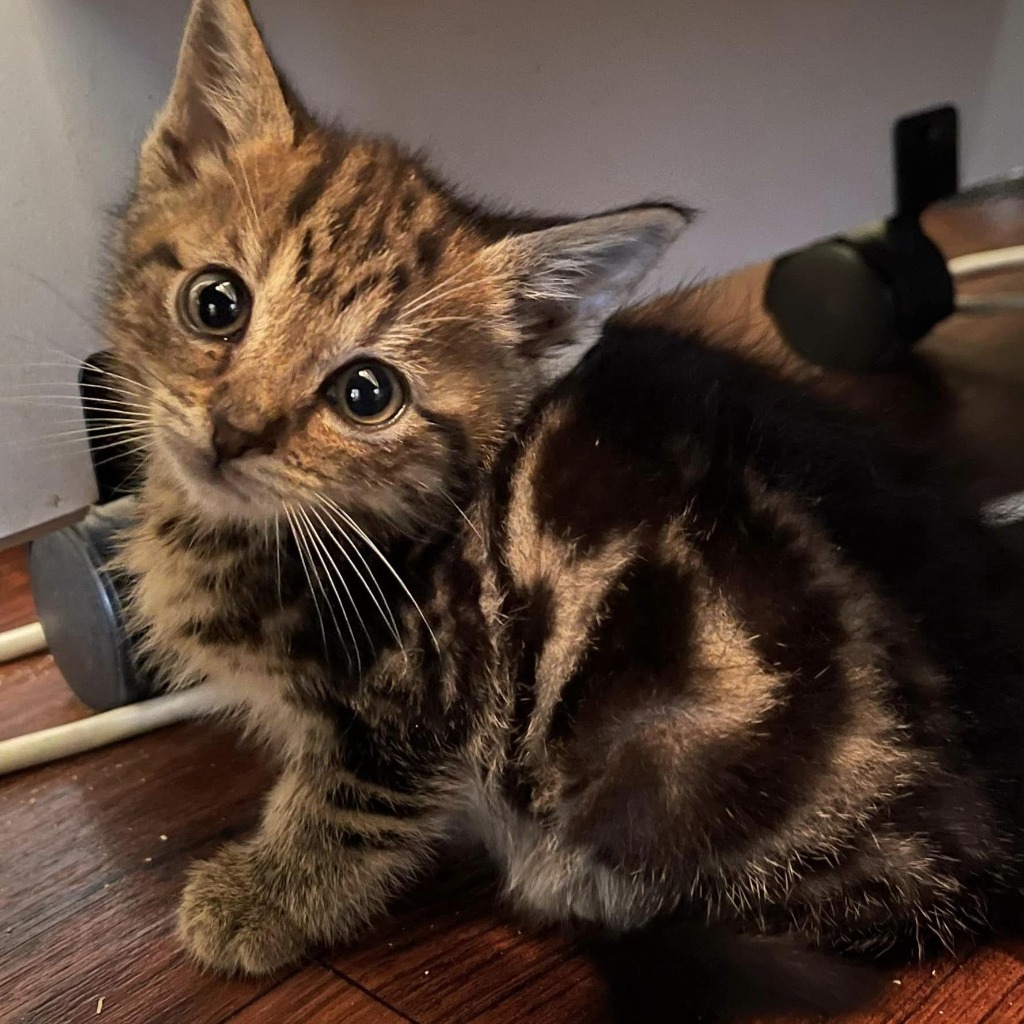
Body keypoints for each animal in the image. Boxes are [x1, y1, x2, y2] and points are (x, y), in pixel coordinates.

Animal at [101, 0, 1024, 1020]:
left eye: (366, 393)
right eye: (216, 303)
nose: (234, 432)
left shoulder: (422, 692)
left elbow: (349, 808)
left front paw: (262, 899)